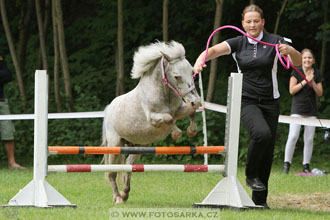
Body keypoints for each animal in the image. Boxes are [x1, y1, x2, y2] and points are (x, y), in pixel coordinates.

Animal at [102, 40, 201, 204]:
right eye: (177, 77)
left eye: (192, 72)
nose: (196, 101)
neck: (163, 92)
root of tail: (109, 107)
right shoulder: (153, 119)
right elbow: (169, 118)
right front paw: (176, 134)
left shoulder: (180, 110)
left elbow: (190, 113)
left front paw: (191, 131)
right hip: (115, 145)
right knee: (112, 173)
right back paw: (117, 198)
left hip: (137, 146)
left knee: (128, 166)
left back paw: (124, 194)